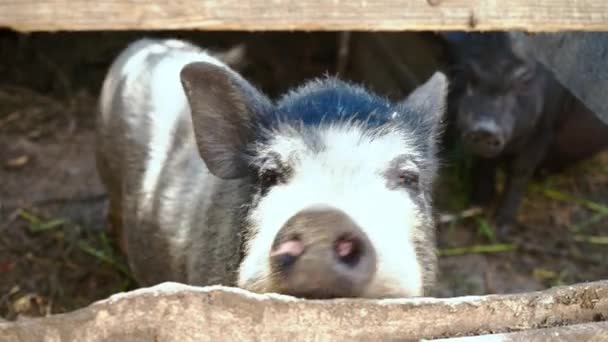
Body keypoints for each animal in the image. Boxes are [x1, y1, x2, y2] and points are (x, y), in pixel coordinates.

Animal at [442, 31, 608, 235]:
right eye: (466, 76)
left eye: (523, 81)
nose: (485, 129)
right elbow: (484, 163)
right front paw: (477, 205)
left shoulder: (545, 126)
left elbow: (520, 171)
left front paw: (501, 229)